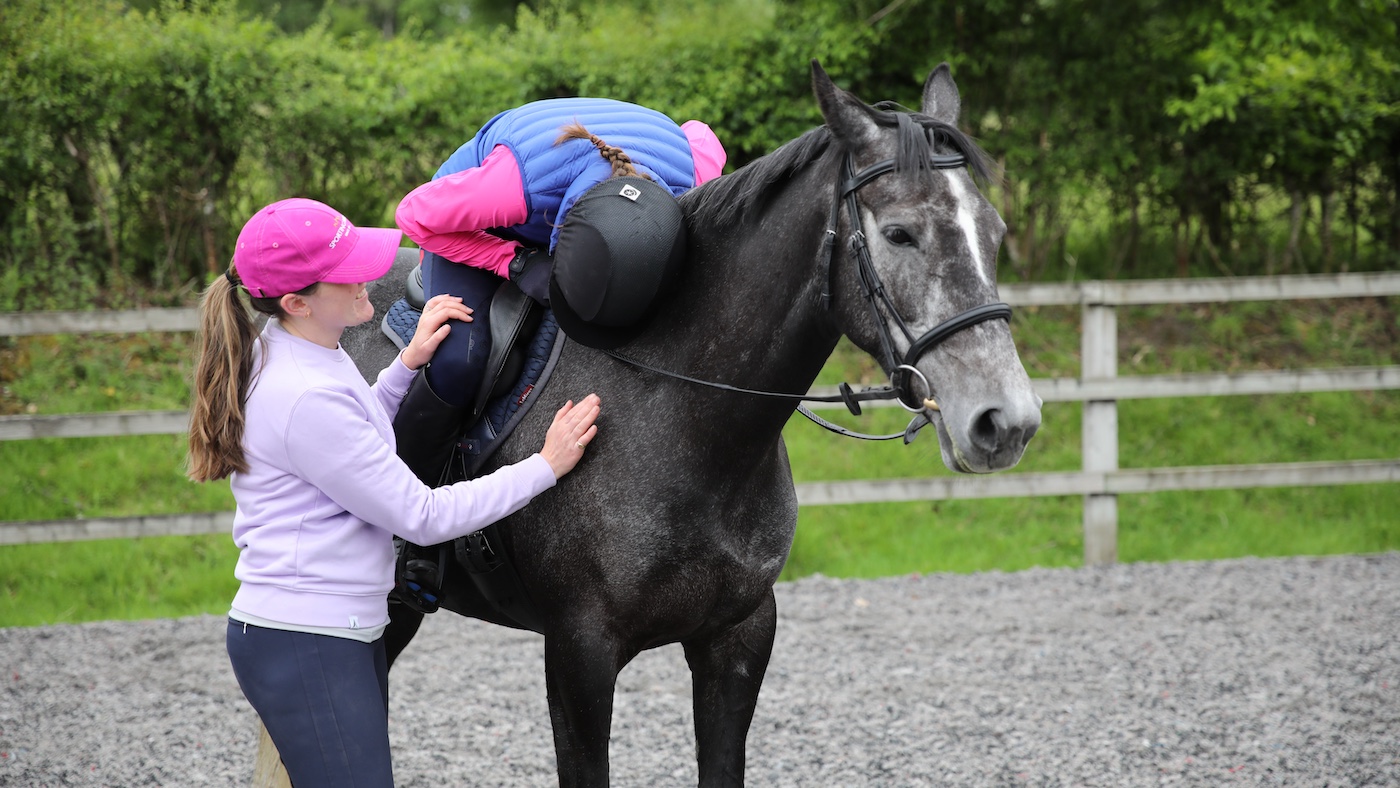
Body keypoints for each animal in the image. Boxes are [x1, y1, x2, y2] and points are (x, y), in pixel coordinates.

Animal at [341, 60, 1042, 787]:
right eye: (901, 233)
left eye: (993, 232)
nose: (1005, 421)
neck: (680, 410)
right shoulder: (578, 652)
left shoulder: (737, 638)